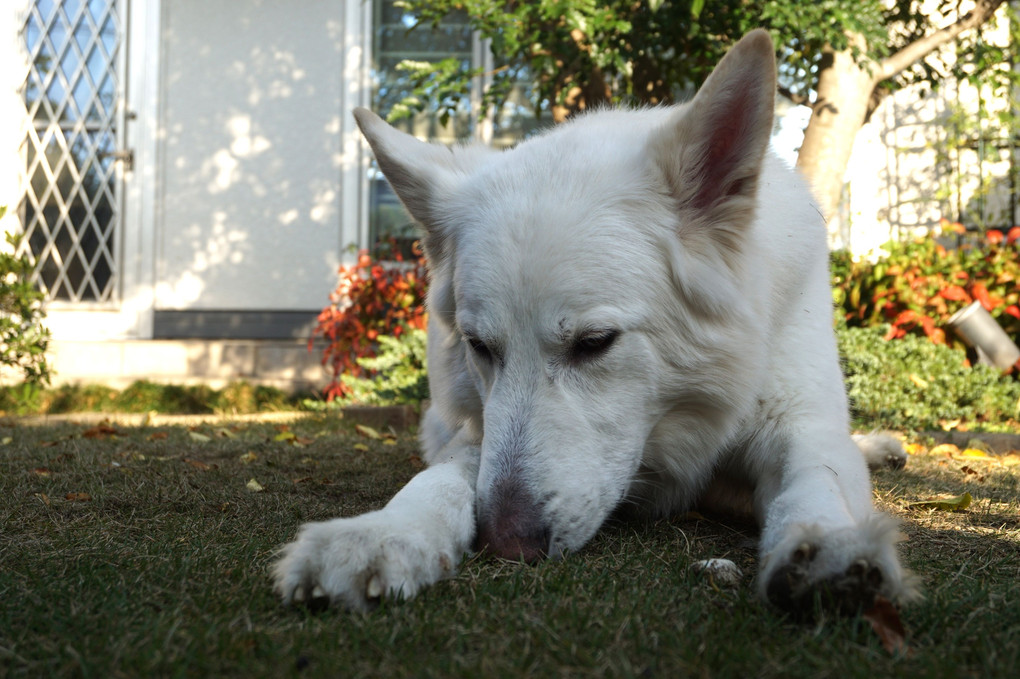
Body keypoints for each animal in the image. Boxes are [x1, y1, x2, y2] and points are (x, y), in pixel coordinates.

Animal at [271, 30, 918, 611]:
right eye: (480, 347)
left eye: (595, 343)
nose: (507, 544)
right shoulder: (476, 432)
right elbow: (444, 477)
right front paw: (381, 532)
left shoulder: (801, 424)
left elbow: (817, 476)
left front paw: (830, 546)